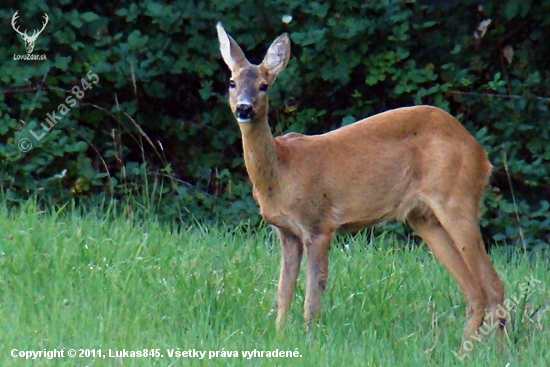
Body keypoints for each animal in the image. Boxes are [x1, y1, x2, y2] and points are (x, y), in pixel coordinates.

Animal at [217, 21, 508, 346]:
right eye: (232, 82)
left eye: (264, 86)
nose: (244, 108)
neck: (282, 171)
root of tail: (481, 155)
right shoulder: (287, 231)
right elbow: (283, 291)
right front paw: (279, 337)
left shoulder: (319, 224)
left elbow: (313, 293)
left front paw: (309, 339)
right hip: (423, 216)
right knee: (474, 291)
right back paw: (462, 349)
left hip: (456, 197)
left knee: (493, 286)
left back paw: (495, 350)